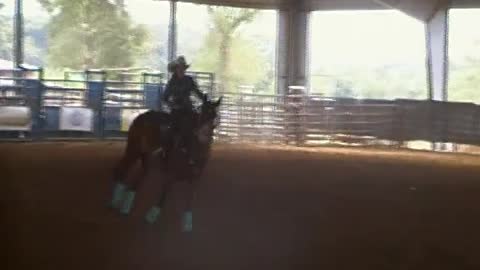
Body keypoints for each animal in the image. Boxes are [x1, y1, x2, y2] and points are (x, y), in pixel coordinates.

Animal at [108, 97, 222, 232]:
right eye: (202, 114)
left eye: (215, 116)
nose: (204, 135)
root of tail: (142, 116)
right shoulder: (171, 173)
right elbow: (164, 193)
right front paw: (152, 215)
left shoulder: (196, 177)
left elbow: (190, 198)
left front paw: (187, 223)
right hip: (133, 149)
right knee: (122, 169)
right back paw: (116, 201)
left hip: (145, 157)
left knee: (139, 176)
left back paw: (124, 204)